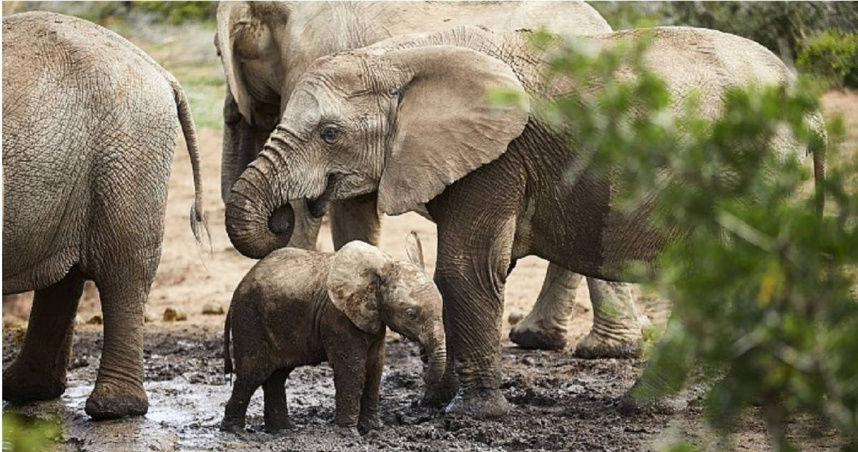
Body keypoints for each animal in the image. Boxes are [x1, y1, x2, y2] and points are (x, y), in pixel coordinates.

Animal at [2, 12, 207, 419]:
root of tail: (162, 72)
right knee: (65, 275)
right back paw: (23, 389)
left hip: (127, 145)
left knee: (123, 267)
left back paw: (112, 409)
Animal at [214, 1, 645, 357]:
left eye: (219, 52)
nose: (277, 218)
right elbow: (352, 212)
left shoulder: (310, 60)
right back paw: (547, 341)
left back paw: (602, 350)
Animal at [221, 234, 444, 433]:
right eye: (410, 314)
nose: (424, 369)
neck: (383, 266)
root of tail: (237, 290)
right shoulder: (338, 318)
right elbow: (353, 368)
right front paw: (348, 433)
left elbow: (375, 367)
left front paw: (373, 429)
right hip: (250, 318)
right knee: (253, 373)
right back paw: (235, 431)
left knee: (277, 376)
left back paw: (282, 431)